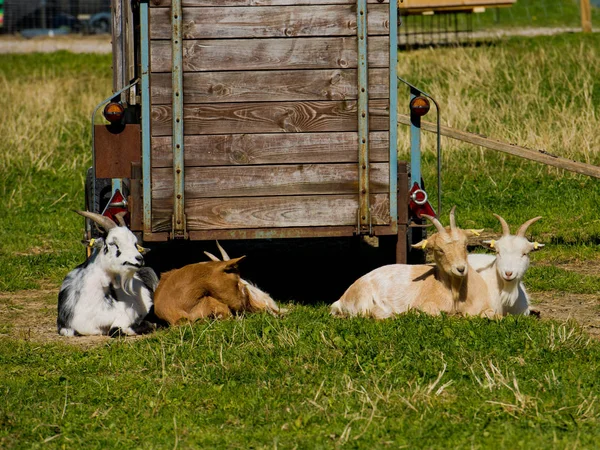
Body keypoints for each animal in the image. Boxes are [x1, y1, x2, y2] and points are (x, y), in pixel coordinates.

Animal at [330, 207, 494, 320]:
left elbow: (491, 314)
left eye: (465, 244)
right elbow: (436, 314)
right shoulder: (428, 305)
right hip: (363, 300)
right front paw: (415, 312)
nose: (460, 269)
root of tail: (342, 299)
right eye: (439, 249)